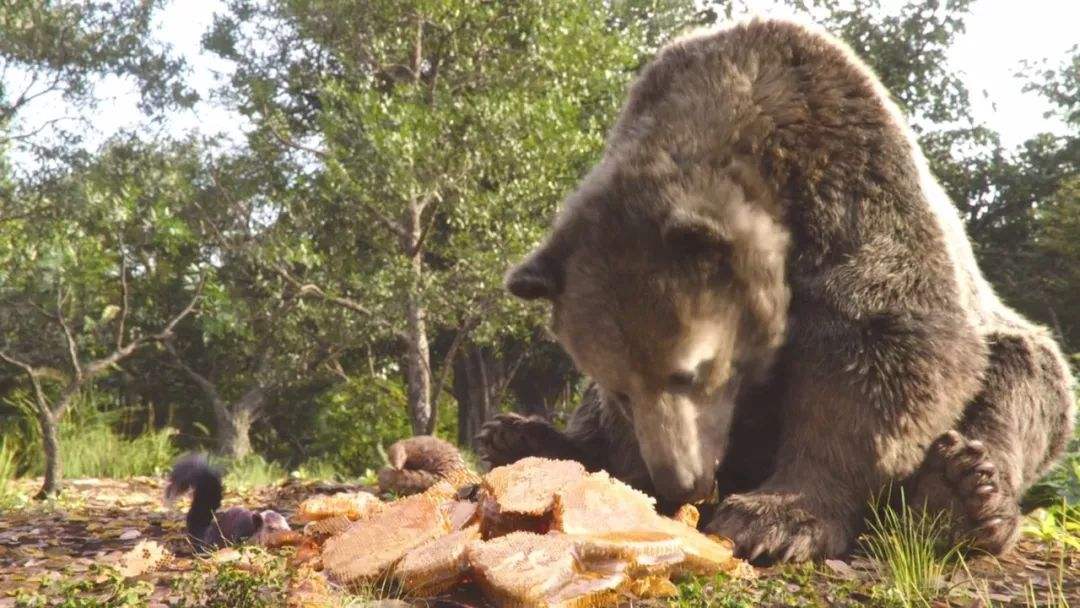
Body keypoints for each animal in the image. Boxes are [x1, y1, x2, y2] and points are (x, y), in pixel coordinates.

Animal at [477, 17, 1075, 561]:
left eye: (691, 371)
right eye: (620, 389)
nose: (681, 480)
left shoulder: (857, 185)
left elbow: (883, 346)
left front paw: (773, 518)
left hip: (1017, 353)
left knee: (1021, 378)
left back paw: (963, 494)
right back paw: (518, 437)